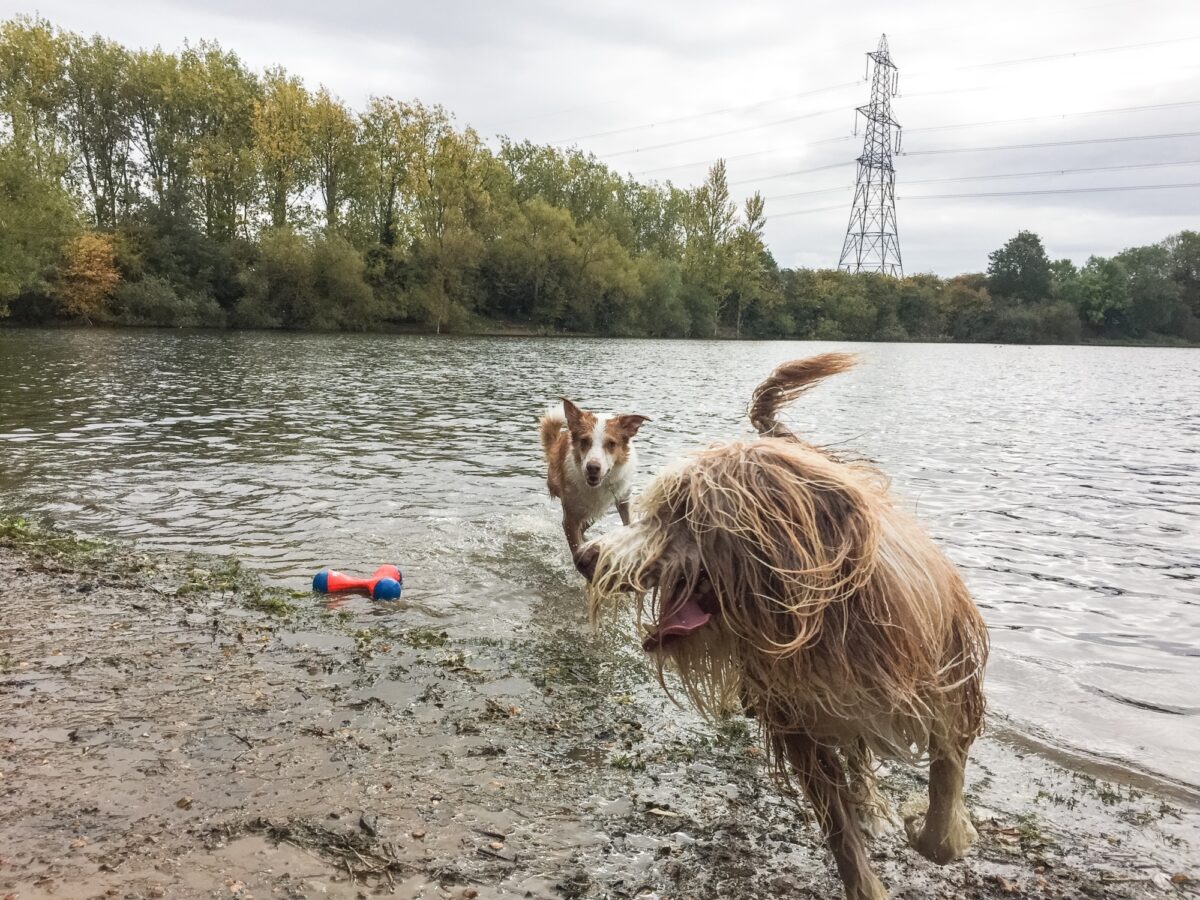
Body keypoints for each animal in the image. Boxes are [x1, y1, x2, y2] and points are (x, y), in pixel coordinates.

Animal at [542, 400, 652, 564]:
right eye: (584, 441)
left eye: (611, 443)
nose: (592, 467)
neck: (601, 485)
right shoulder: (570, 518)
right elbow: (576, 547)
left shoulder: (624, 498)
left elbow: (628, 522)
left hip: (597, 509)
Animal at [576, 355, 988, 900]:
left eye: (683, 512)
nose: (585, 558)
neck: (824, 627)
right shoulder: (800, 725)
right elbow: (839, 831)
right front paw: (865, 878)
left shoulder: (950, 687)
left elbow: (944, 802)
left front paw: (934, 828)